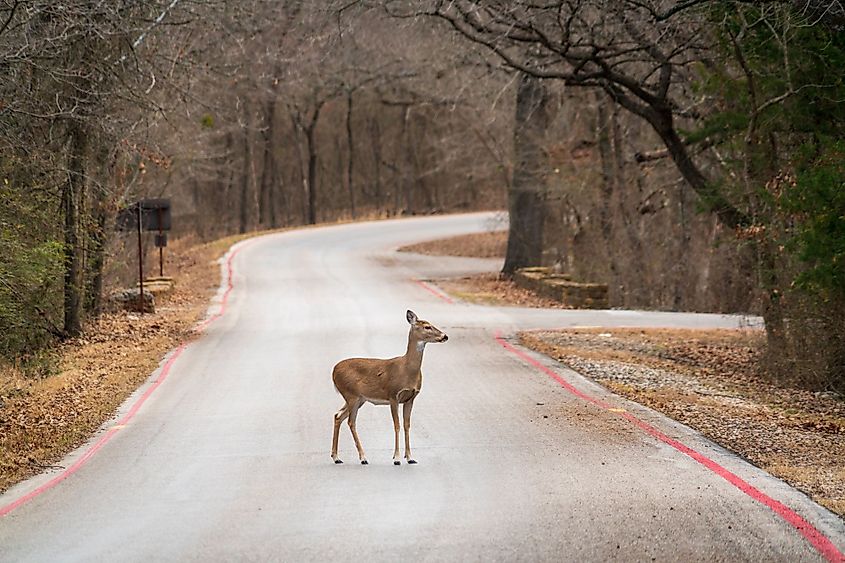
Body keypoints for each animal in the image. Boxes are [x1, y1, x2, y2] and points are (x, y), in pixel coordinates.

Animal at [332, 310, 448, 464]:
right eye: (427, 327)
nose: (445, 336)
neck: (407, 370)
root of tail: (333, 370)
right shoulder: (393, 395)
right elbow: (397, 425)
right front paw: (397, 458)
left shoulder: (411, 398)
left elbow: (406, 425)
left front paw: (410, 457)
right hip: (351, 394)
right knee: (351, 421)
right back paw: (363, 457)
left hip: (359, 398)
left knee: (338, 416)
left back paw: (336, 457)